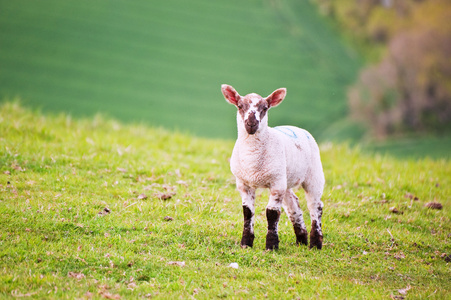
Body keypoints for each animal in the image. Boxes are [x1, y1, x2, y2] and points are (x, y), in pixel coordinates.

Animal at [222, 83, 324, 250]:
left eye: (265, 108)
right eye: (240, 106)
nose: (251, 124)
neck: (253, 161)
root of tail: (299, 128)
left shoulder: (276, 184)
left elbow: (272, 213)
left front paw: (271, 245)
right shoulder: (244, 183)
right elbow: (247, 212)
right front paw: (246, 243)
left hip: (313, 174)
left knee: (315, 206)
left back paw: (315, 243)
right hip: (285, 178)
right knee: (294, 204)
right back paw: (301, 240)